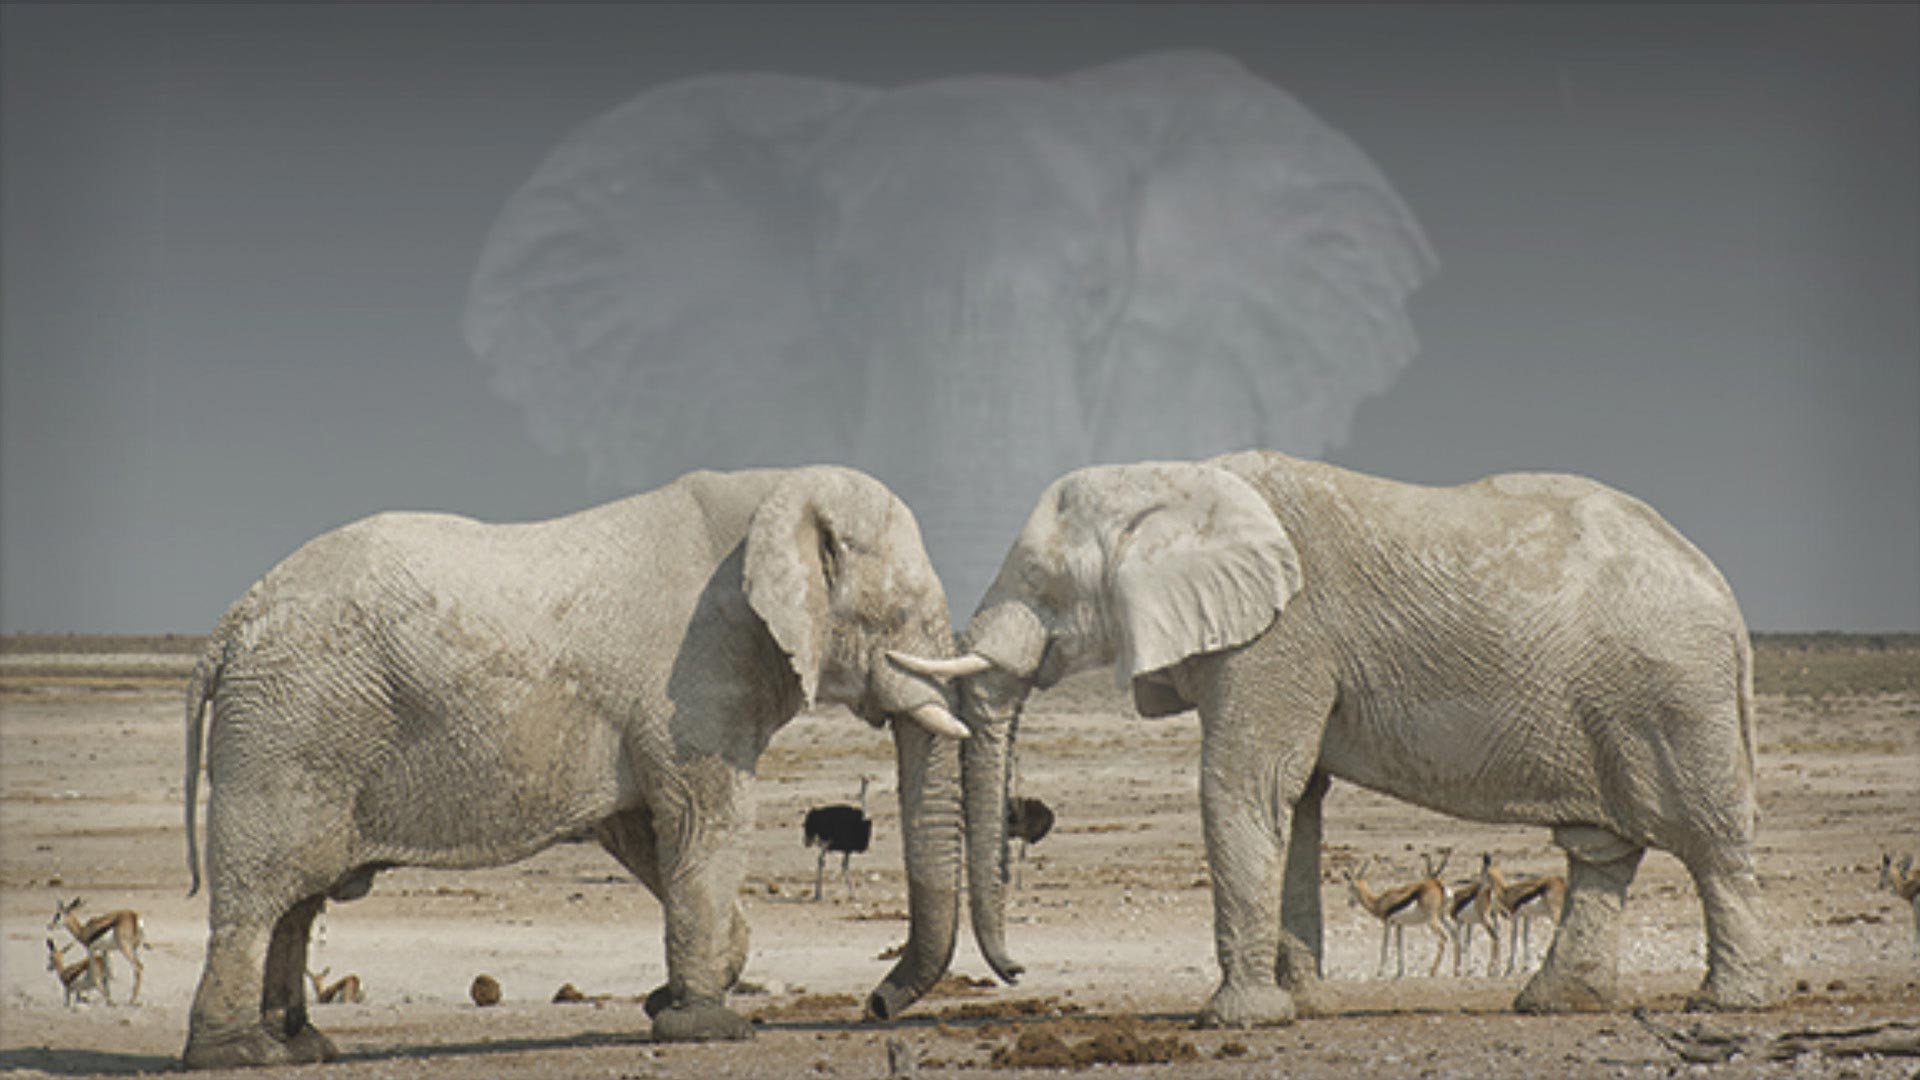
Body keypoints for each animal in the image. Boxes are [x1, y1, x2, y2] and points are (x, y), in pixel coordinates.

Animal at [180, 466, 970, 1069]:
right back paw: (239, 1055)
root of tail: (231, 623)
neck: (779, 489)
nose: (876, 1006)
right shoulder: (695, 679)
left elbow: (646, 831)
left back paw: (303, 1046)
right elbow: (705, 821)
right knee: (264, 893)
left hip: (298, 727)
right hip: (291, 728)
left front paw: (675, 997)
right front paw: (708, 1027)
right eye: (901, 616)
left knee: (298, 898)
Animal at [890, 450, 1786, 1028]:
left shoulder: (1279, 637)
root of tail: (1724, 593)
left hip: (1675, 694)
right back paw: (1554, 1005)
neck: (1180, 479)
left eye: (1043, 582)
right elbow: (1300, 803)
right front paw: (1306, 1008)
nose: (1014, 971)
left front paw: (1240, 1022)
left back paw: (1730, 1003)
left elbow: (1246, 786)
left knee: (1709, 841)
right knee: (1602, 849)